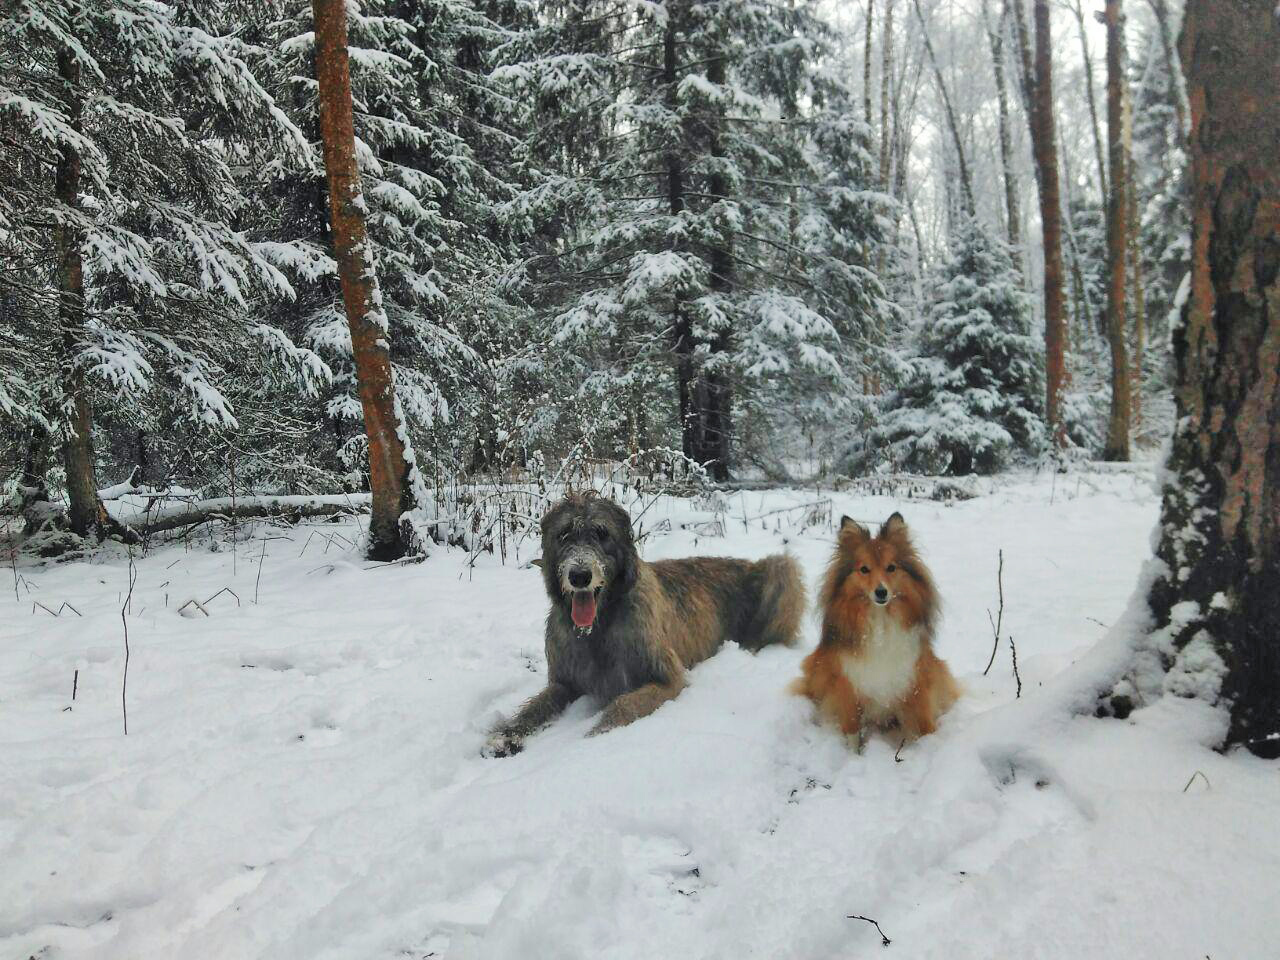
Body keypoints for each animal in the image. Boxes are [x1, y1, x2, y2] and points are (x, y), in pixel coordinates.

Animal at [483, 491, 803, 757]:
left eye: (602, 532)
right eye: (564, 534)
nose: (579, 576)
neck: (600, 625)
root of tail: (747, 562)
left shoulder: (667, 677)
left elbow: (623, 703)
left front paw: (595, 737)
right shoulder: (564, 678)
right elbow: (538, 704)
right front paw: (505, 735)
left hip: (780, 570)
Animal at [788, 514, 962, 747]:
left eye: (891, 568)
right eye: (864, 569)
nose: (881, 592)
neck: (880, 619)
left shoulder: (915, 675)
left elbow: (924, 720)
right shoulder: (846, 681)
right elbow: (852, 728)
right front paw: (854, 752)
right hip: (816, 669)